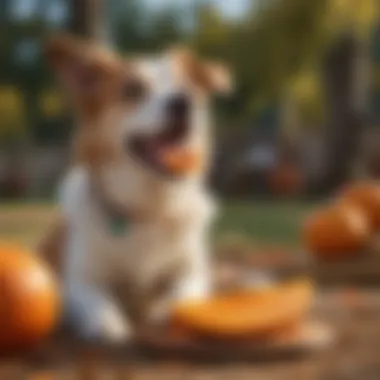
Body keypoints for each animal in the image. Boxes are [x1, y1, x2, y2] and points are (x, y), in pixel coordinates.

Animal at [44, 35, 233, 342]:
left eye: (187, 88)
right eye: (133, 90)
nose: (183, 103)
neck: (149, 207)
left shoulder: (194, 270)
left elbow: (185, 294)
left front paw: (164, 310)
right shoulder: (79, 279)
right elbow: (95, 301)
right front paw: (108, 324)